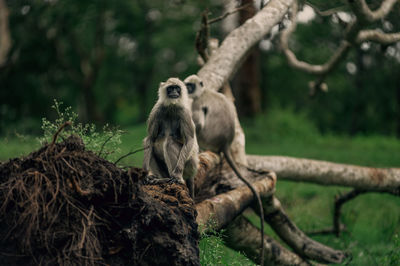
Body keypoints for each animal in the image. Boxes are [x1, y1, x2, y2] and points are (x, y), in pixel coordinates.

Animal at [184, 73, 266, 264]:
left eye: (191, 86)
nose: (188, 90)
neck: (203, 91)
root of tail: (225, 143)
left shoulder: (198, 102)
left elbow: (198, 122)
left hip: (207, 137)